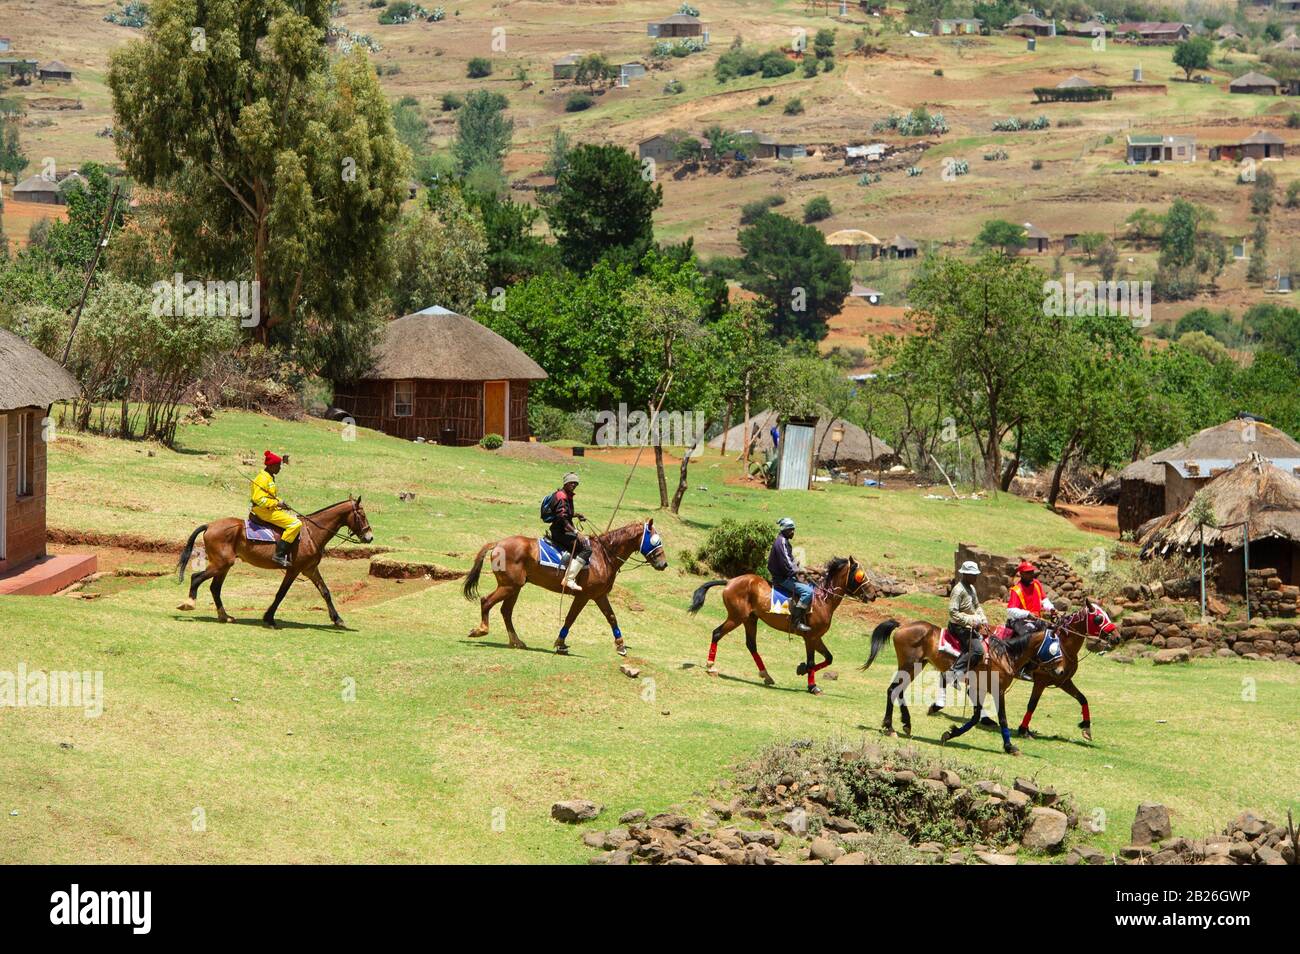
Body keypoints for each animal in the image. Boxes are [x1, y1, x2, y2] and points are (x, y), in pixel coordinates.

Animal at [175, 496, 374, 631]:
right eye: (362, 515)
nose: (370, 537)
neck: (311, 533)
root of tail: (210, 525)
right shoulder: (294, 570)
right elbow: (281, 594)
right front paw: (269, 618)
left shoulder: (310, 569)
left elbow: (325, 592)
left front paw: (337, 619)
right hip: (220, 564)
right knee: (196, 578)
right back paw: (189, 603)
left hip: (224, 566)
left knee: (215, 588)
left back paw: (225, 616)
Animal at [465, 519, 670, 655]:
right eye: (655, 540)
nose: (663, 564)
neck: (603, 555)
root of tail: (498, 543)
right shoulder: (583, 596)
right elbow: (571, 618)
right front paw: (560, 643)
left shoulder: (599, 595)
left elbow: (611, 617)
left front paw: (620, 645)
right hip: (509, 586)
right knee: (486, 601)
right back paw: (481, 630)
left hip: (515, 587)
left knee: (506, 611)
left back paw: (516, 641)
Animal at [686, 556, 868, 696]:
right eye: (861, 575)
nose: (872, 594)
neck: (822, 599)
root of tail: (731, 580)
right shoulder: (810, 637)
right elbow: (811, 662)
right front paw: (812, 685)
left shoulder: (816, 637)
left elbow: (829, 658)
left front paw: (802, 671)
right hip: (736, 618)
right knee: (717, 633)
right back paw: (710, 666)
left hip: (750, 620)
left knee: (751, 645)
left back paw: (766, 675)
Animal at [1013, 597, 1118, 748]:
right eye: (1098, 619)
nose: (1117, 637)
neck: (1063, 648)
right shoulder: (1040, 681)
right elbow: (1032, 705)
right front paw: (1023, 730)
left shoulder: (1063, 681)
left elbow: (1082, 698)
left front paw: (1086, 728)